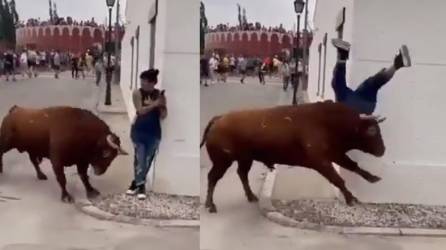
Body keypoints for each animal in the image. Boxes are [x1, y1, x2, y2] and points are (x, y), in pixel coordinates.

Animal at [0, 106, 129, 202]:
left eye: (114, 156)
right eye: (106, 153)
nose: (100, 171)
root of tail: (14, 110)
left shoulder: (81, 161)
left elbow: (84, 177)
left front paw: (91, 191)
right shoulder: (57, 162)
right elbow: (62, 179)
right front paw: (66, 197)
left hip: (32, 149)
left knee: (34, 161)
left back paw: (41, 175)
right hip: (6, 144)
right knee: (1, 153)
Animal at [200, 101, 386, 213]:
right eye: (372, 130)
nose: (382, 150)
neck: (328, 121)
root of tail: (219, 118)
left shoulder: (335, 154)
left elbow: (353, 166)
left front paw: (373, 178)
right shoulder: (322, 162)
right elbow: (338, 179)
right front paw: (350, 198)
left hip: (245, 159)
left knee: (242, 174)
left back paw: (251, 196)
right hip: (222, 162)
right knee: (213, 177)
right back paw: (210, 205)